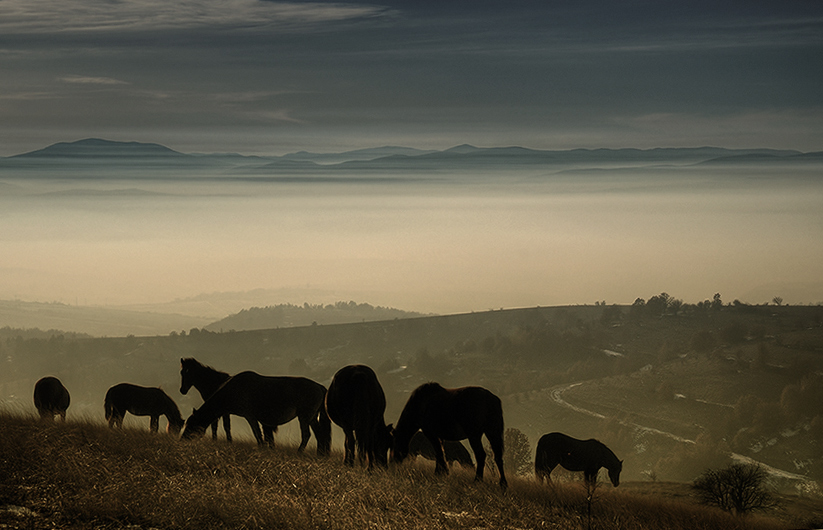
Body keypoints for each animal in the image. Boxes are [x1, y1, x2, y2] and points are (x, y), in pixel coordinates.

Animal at [181, 368, 332, 454]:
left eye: (191, 425)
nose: (182, 439)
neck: (233, 389)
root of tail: (320, 387)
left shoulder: (250, 416)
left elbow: (257, 434)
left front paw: (262, 448)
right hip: (312, 418)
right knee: (320, 434)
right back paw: (320, 454)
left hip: (304, 417)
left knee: (307, 435)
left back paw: (300, 452)